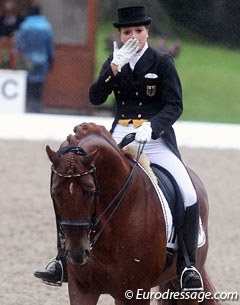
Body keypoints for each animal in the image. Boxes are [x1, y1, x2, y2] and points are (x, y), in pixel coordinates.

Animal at [45, 121, 219, 304]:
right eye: (55, 193)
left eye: (91, 191)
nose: (77, 254)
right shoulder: (82, 289)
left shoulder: (134, 292)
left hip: (187, 289)